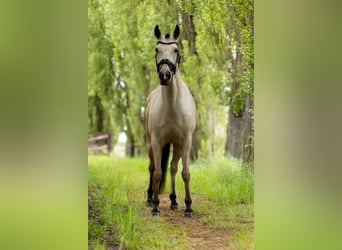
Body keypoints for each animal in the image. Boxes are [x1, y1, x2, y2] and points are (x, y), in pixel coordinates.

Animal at [145, 24, 198, 218]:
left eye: (175, 49)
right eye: (157, 49)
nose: (165, 75)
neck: (172, 105)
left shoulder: (186, 141)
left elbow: (185, 173)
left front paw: (188, 206)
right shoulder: (156, 141)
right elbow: (158, 173)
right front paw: (155, 206)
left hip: (177, 145)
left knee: (174, 168)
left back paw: (174, 201)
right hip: (151, 145)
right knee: (152, 167)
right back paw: (149, 198)